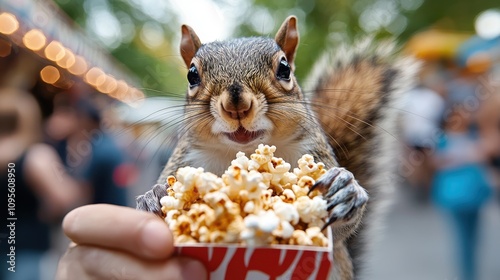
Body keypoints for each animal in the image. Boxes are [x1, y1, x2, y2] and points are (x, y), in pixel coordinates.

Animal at [136, 15, 418, 280]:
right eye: (192, 74)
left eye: (284, 68)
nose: (236, 104)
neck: (246, 151)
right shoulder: (185, 159)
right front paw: (153, 197)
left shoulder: (314, 153)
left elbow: (337, 235)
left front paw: (346, 190)